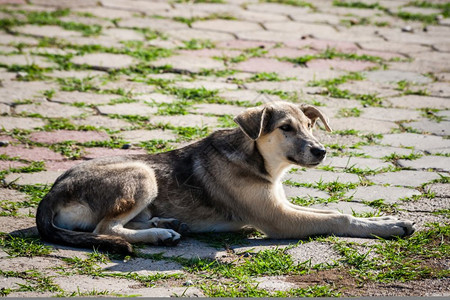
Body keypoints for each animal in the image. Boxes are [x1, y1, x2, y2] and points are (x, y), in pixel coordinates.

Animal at [35, 101, 414, 253]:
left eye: (310, 125)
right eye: (285, 128)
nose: (321, 151)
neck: (258, 161)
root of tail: (51, 193)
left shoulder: (282, 205)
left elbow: (334, 210)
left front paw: (386, 220)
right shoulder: (278, 219)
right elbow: (338, 217)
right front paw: (388, 228)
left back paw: (168, 223)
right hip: (141, 173)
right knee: (107, 228)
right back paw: (160, 234)